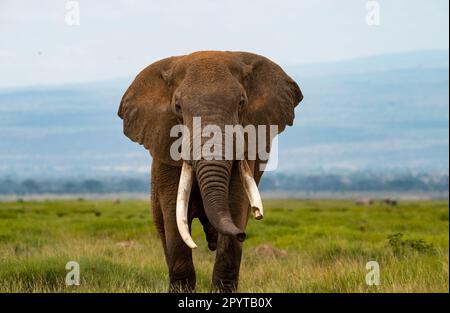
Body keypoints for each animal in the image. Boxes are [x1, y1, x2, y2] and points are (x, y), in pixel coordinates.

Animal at [118, 50, 302, 292]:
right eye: (178, 107)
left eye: (241, 102)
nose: (243, 233)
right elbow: (174, 216)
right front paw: (182, 291)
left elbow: (235, 205)